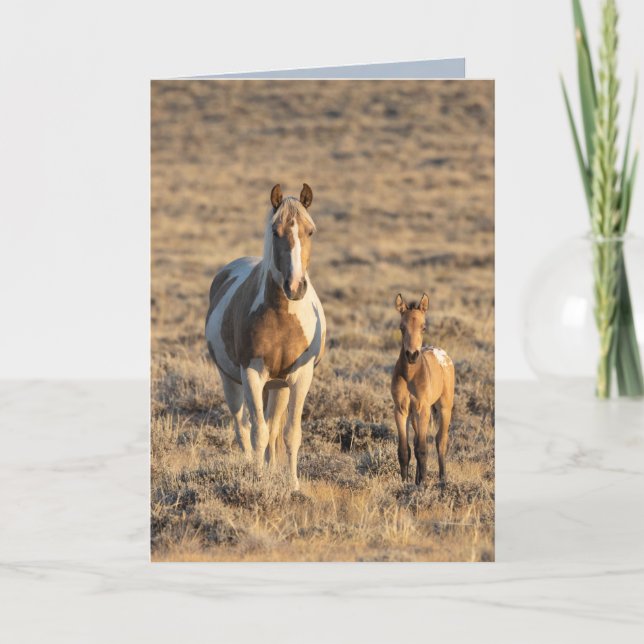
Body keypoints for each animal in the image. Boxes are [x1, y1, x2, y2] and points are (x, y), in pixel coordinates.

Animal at [205, 183, 326, 490]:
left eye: (310, 231)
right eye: (275, 231)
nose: (295, 287)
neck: (281, 315)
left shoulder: (300, 377)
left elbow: (289, 433)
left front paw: (293, 485)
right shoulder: (251, 374)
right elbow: (257, 432)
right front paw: (257, 479)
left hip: (278, 386)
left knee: (273, 429)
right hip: (231, 381)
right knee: (242, 427)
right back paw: (251, 466)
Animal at [390, 293, 455, 485]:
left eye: (424, 327)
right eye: (401, 327)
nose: (412, 355)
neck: (411, 376)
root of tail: (442, 354)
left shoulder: (423, 409)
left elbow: (422, 449)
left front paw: (424, 484)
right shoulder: (401, 410)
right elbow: (405, 450)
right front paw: (406, 483)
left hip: (444, 407)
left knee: (441, 441)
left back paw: (442, 479)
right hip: (414, 416)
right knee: (419, 439)